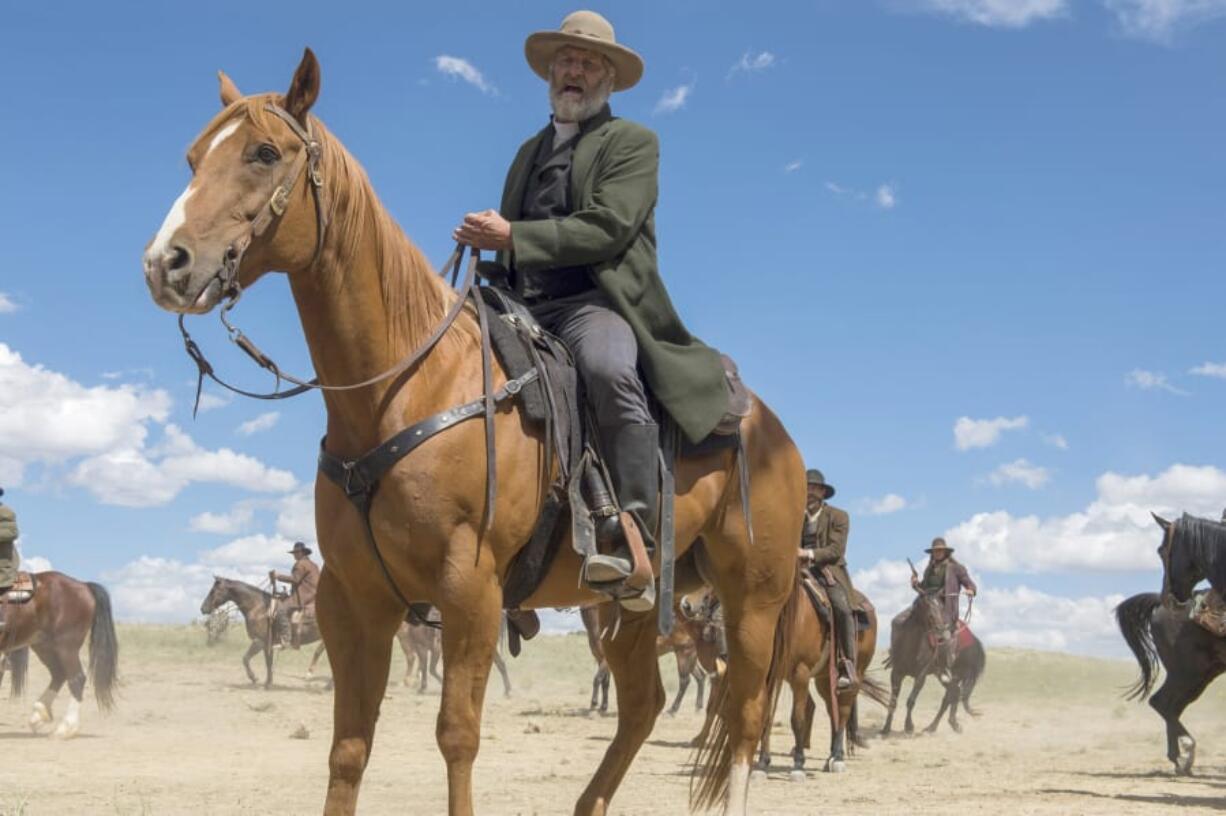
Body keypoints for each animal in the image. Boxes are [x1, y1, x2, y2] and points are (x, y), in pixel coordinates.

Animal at [0, 570, 118, 735]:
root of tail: (84, 585)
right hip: (44, 646)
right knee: (59, 674)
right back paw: (39, 715)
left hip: (66, 647)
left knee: (76, 678)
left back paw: (66, 728)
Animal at [143, 52, 804, 813]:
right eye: (194, 157)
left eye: (263, 152)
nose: (165, 262)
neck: (403, 388)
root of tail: (772, 430)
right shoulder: (354, 598)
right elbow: (348, 746)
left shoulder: (471, 591)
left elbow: (457, 735)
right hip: (629, 612)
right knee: (643, 706)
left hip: (753, 601)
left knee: (746, 717)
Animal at [882, 588, 985, 735]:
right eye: (926, 606)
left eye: (940, 607)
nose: (941, 629)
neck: (912, 646)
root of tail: (975, 642)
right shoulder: (896, 673)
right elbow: (892, 702)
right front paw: (886, 728)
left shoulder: (921, 676)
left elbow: (911, 701)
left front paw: (909, 726)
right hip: (944, 675)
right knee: (954, 693)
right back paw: (944, 725)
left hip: (957, 674)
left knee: (950, 696)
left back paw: (937, 726)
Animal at [1118, 588, 1221, 774]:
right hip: (1187, 673)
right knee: (1161, 703)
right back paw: (1186, 752)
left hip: (1200, 676)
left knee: (1171, 707)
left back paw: (1180, 761)